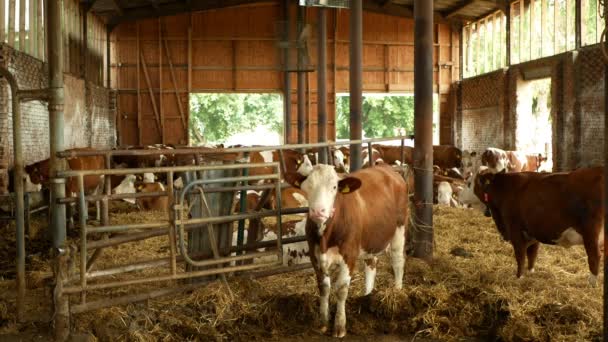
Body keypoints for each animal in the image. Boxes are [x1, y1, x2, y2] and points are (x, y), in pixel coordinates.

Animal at [284, 164, 408, 338]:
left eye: (334, 187)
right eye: (307, 186)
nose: (318, 211)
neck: (325, 236)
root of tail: (388, 169)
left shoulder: (349, 255)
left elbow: (341, 289)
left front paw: (339, 326)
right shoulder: (315, 256)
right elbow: (324, 287)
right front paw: (323, 322)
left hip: (399, 229)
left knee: (398, 262)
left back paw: (397, 293)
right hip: (370, 239)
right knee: (371, 264)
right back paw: (367, 296)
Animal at [476, 167, 604, 284]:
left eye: (476, 180)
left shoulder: (515, 230)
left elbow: (520, 255)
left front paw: (519, 277)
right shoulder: (533, 232)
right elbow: (532, 254)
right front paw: (530, 272)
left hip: (591, 233)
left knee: (594, 257)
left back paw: (591, 284)